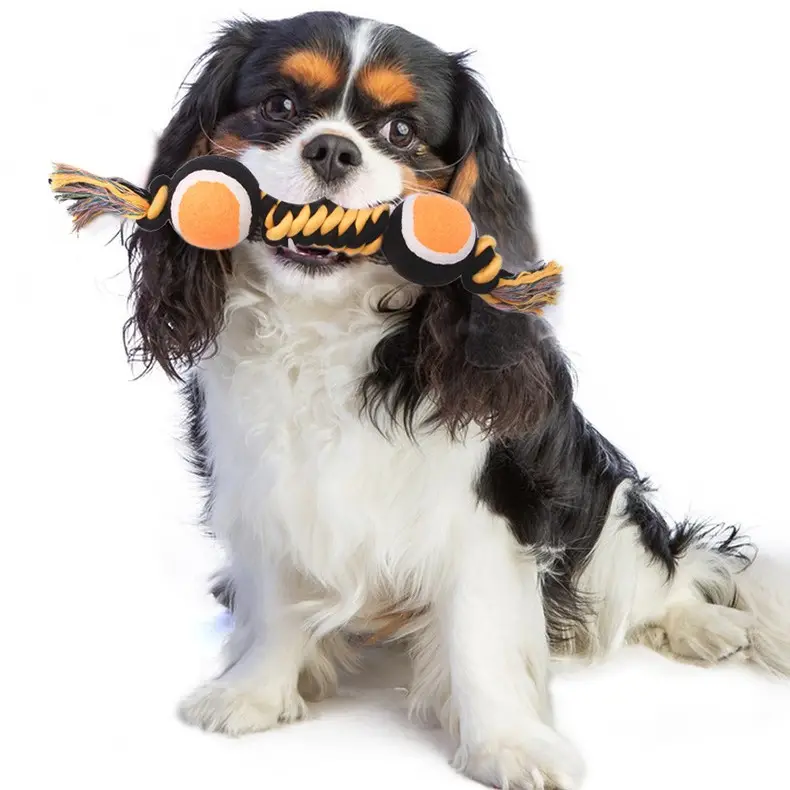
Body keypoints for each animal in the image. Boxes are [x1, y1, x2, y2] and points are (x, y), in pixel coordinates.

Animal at [122, 10, 790, 784]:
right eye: (280, 107)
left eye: (402, 130)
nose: (332, 149)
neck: (330, 325)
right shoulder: (267, 484)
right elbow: (279, 599)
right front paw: (255, 693)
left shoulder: (489, 508)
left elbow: (479, 636)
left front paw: (505, 743)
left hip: (604, 501)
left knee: (667, 572)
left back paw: (704, 624)